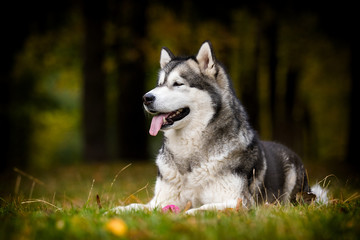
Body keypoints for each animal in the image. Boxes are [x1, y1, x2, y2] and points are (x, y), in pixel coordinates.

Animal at [112, 40, 326, 214]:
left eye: (178, 83)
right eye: (159, 84)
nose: (146, 98)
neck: (190, 155)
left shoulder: (238, 201)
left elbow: (200, 208)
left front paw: (187, 215)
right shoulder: (160, 200)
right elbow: (134, 206)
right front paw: (113, 211)